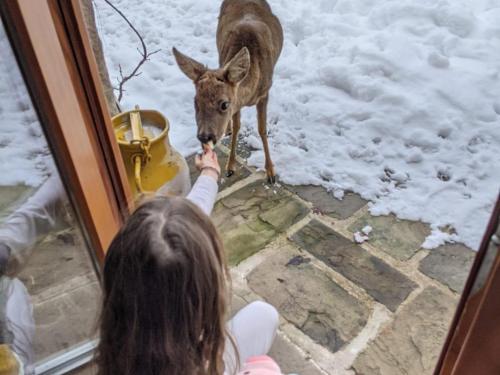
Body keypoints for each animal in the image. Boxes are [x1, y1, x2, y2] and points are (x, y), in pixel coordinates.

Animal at [173, 0, 282, 184]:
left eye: (224, 104)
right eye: (195, 102)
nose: (204, 137)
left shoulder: (265, 92)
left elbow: (262, 129)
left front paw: (271, 172)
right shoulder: (237, 103)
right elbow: (237, 127)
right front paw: (230, 166)